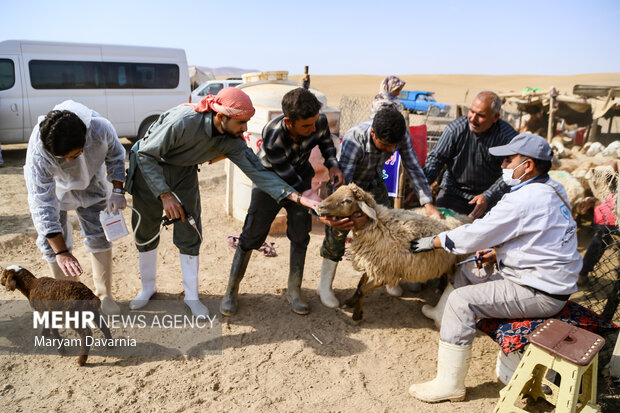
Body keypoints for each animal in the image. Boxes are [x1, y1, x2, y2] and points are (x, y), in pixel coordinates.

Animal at [318, 183, 472, 322]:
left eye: (347, 200)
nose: (319, 207)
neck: (378, 225)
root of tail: (463, 216)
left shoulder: (384, 273)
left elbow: (362, 289)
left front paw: (357, 314)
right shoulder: (373, 263)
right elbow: (360, 284)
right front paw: (351, 301)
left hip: (457, 259)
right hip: (444, 259)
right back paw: (440, 287)